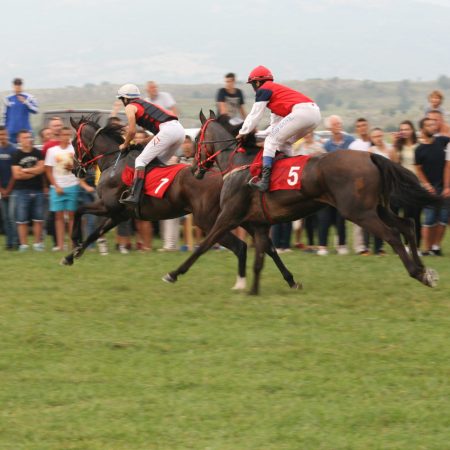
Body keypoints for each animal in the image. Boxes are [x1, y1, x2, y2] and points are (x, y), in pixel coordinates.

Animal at [64, 116, 302, 290]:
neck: (112, 162)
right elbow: (94, 233)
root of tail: (226, 174)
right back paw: (289, 280)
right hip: (240, 217)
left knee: (240, 246)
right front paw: (72, 255)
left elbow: (79, 210)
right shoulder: (118, 215)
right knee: (267, 246)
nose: (75, 169)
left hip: (209, 220)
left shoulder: (109, 207)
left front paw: (74, 241)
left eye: (74, 142)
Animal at [163, 110, 442, 294]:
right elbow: (266, 254)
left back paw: (417, 273)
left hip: (359, 212)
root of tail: (371, 155)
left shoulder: (228, 217)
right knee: (407, 225)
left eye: (196, 139)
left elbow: (204, 244)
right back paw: (424, 270)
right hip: (378, 207)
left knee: (393, 235)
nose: (194, 169)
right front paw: (272, 285)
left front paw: (173, 273)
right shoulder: (259, 223)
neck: (239, 163)